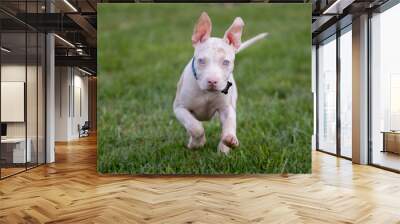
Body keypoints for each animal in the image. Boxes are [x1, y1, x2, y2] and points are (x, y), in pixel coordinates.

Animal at [173, 11, 268, 154]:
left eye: (226, 62)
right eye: (201, 61)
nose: (212, 81)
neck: (207, 93)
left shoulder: (227, 108)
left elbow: (229, 123)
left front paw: (229, 140)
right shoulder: (179, 108)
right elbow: (195, 127)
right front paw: (197, 143)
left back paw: (223, 149)